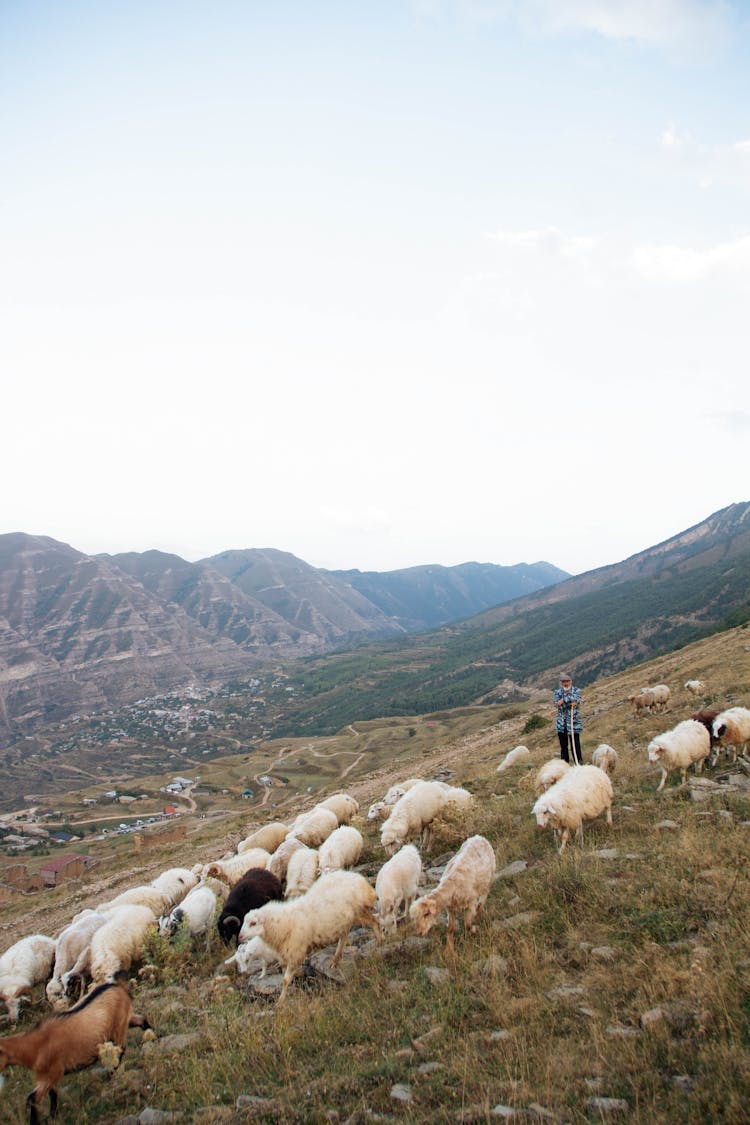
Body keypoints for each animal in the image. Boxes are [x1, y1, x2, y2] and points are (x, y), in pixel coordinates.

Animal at [0, 981, 150, 1120]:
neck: (35, 1046)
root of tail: (118, 986)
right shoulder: (46, 1076)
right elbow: (52, 1094)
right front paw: (53, 1115)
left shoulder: (54, 1072)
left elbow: (32, 1098)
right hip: (124, 1021)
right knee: (141, 1020)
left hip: (118, 1027)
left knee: (120, 1050)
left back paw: (112, 1074)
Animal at [239, 868, 382, 1003]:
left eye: (253, 923)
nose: (240, 936)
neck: (284, 921)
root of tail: (359, 879)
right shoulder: (286, 955)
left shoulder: (296, 952)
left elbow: (285, 980)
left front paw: (281, 1001)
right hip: (345, 920)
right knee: (344, 937)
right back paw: (335, 960)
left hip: (359, 912)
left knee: (375, 922)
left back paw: (380, 943)